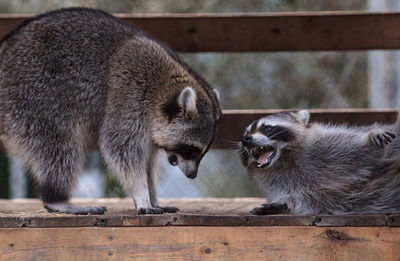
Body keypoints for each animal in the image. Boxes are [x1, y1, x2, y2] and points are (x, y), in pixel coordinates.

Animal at [0, 8, 222, 215]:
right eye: (193, 149)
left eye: (202, 151)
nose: (192, 175)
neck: (162, 88)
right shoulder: (128, 97)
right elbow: (121, 150)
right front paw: (142, 194)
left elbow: (148, 162)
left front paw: (153, 196)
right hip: (35, 98)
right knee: (60, 148)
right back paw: (57, 198)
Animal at [238, 109, 400, 213]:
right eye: (246, 133)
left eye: (267, 128)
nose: (246, 139)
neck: (284, 159)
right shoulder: (275, 179)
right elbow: (310, 199)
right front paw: (285, 202)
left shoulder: (327, 145)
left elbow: (368, 152)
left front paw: (372, 134)